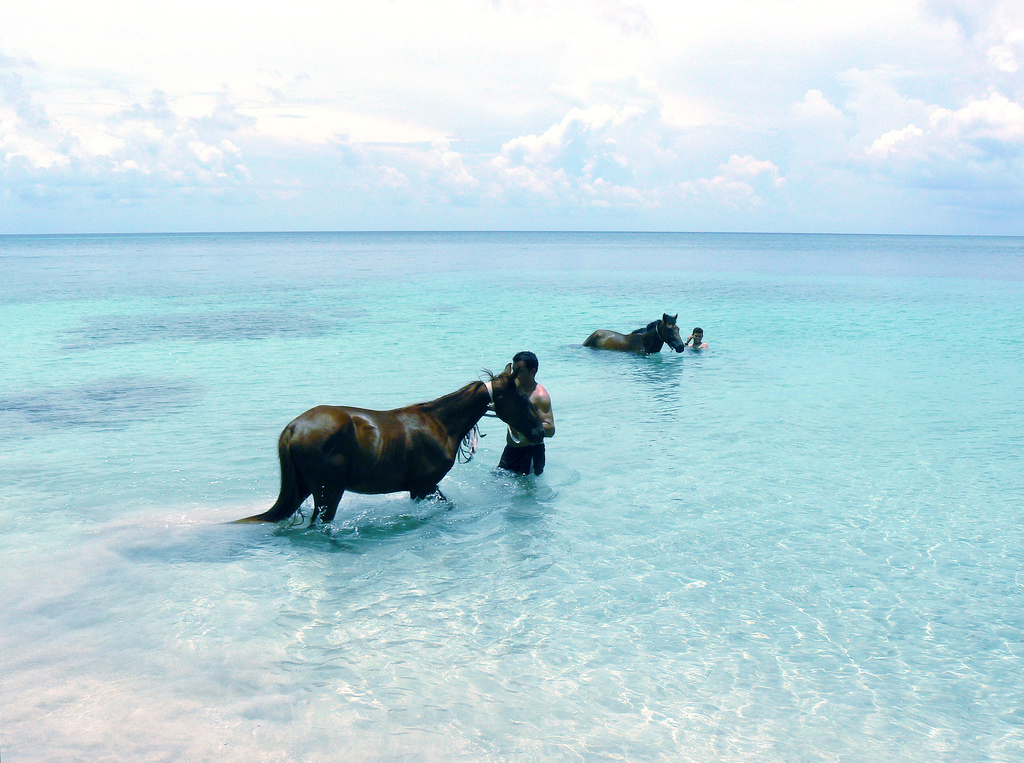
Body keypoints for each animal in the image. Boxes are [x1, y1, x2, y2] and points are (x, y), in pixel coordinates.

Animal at [235, 367, 545, 525]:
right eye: (520, 397)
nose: (541, 430)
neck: (438, 423)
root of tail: (295, 426)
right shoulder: (424, 485)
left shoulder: (422, 488)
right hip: (328, 493)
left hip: (303, 489)